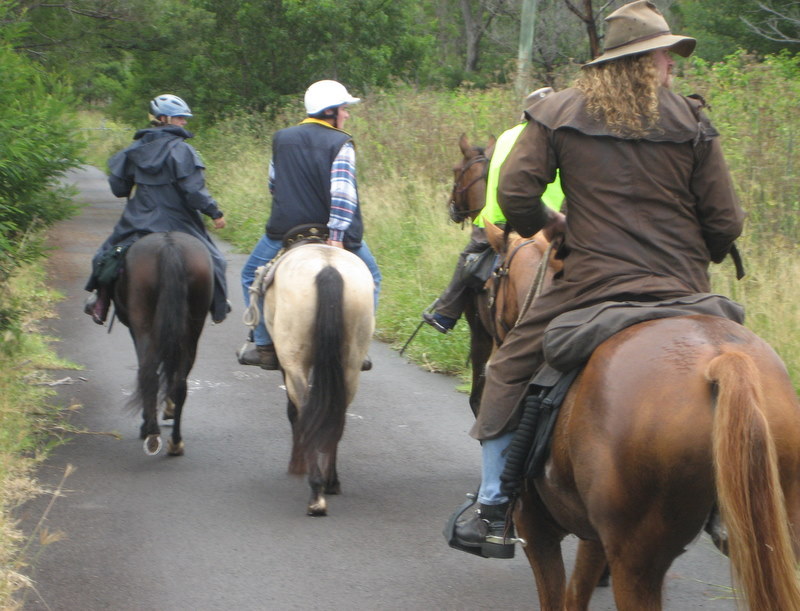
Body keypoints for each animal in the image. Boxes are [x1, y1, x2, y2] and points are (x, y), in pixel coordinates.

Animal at [112, 232, 214, 456]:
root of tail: (170, 245)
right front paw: (169, 408)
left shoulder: (136, 331)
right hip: (192, 331)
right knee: (180, 383)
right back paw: (175, 442)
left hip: (143, 323)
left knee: (148, 374)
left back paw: (150, 432)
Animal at [262, 244, 376, 516]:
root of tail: (328, 269)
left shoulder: (286, 364)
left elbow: (293, 411)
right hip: (351, 364)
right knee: (337, 414)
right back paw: (330, 482)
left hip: (294, 359)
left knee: (305, 410)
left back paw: (315, 492)